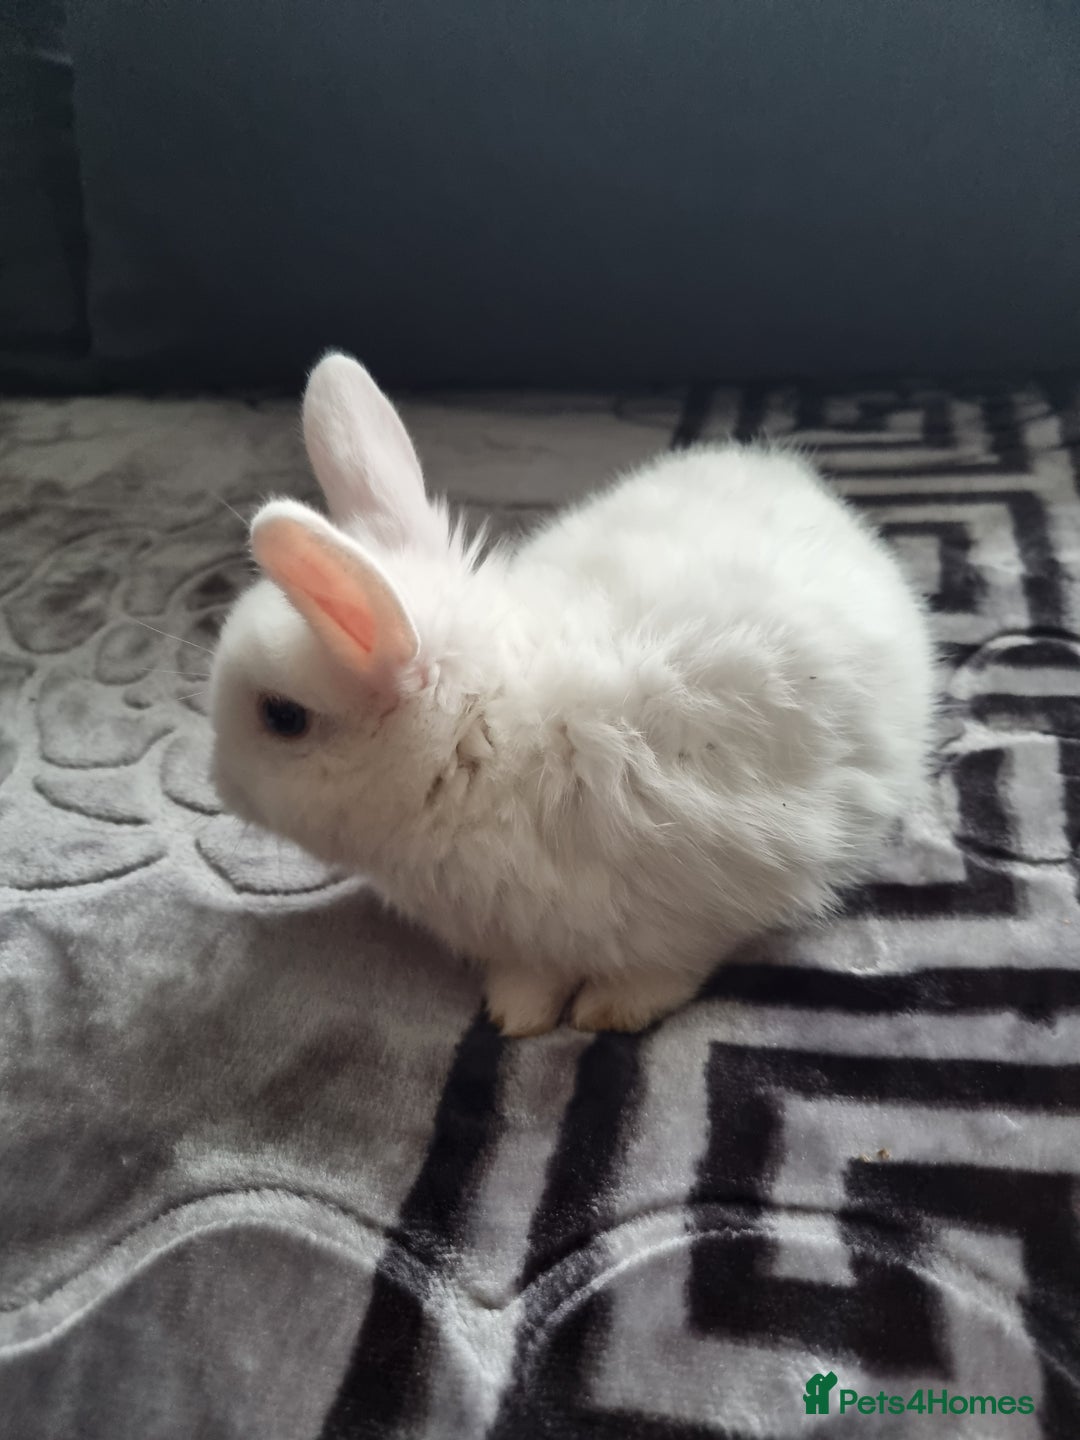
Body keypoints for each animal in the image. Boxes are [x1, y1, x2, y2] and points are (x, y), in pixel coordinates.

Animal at [209, 352, 934, 1036]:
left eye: (282, 717)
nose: (218, 785)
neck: (481, 739)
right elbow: (532, 976)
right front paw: (517, 1014)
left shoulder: (702, 900)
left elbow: (665, 970)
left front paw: (608, 1013)